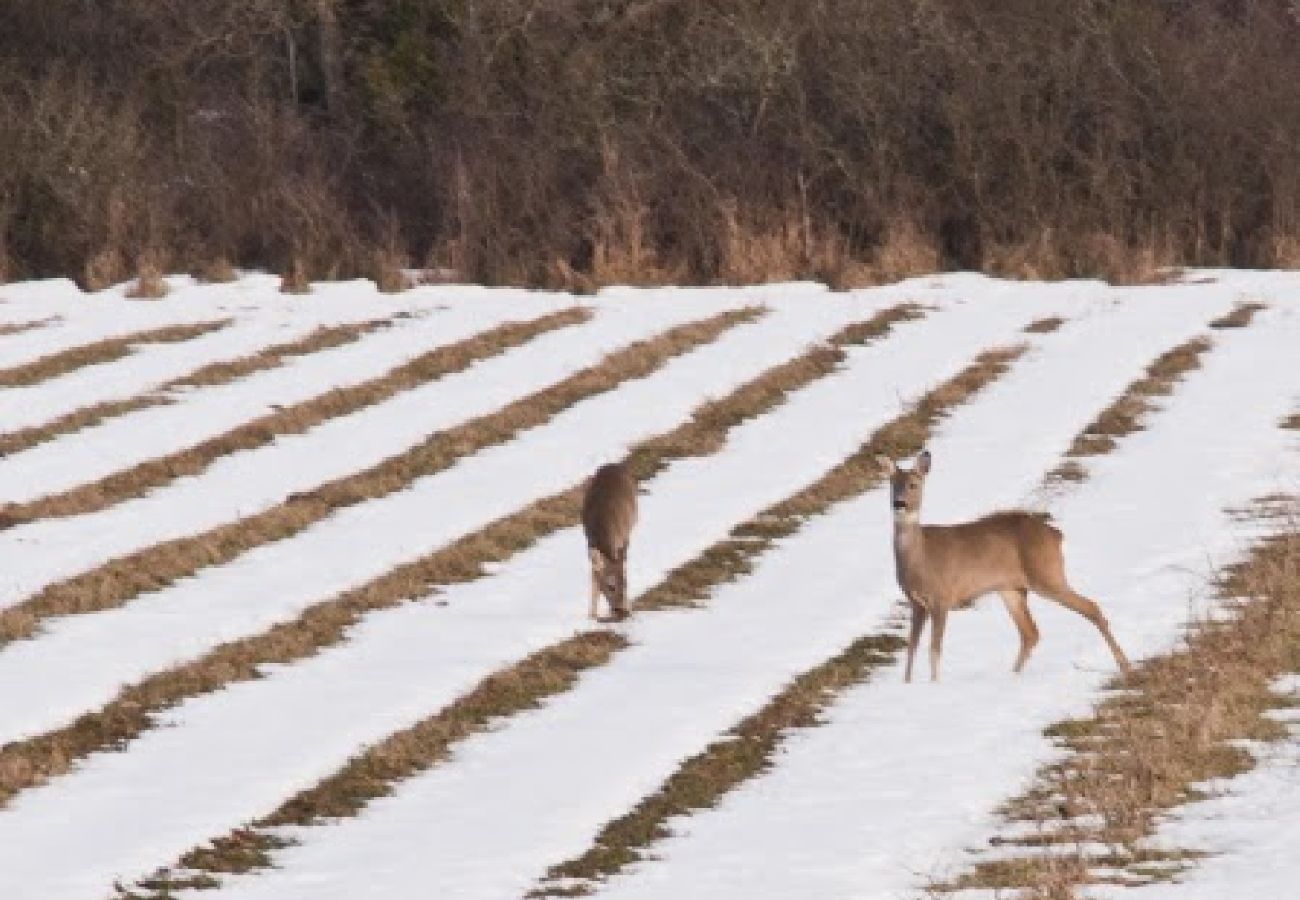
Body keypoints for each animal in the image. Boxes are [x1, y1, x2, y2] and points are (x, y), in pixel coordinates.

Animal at [582, 463, 637, 619]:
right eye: (610, 586)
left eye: (625, 583)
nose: (621, 611)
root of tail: (613, 464)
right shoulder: (590, 546)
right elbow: (594, 578)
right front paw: (592, 615)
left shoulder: (621, 540)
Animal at [878, 450, 1133, 681]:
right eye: (892, 484)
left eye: (913, 484)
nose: (899, 503)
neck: (920, 558)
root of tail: (1056, 535)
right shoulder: (916, 603)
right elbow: (912, 648)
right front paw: (908, 684)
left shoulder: (942, 597)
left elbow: (934, 649)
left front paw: (934, 684)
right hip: (1011, 588)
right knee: (1030, 632)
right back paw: (1013, 676)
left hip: (1046, 574)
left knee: (1091, 607)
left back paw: (1125, 665)